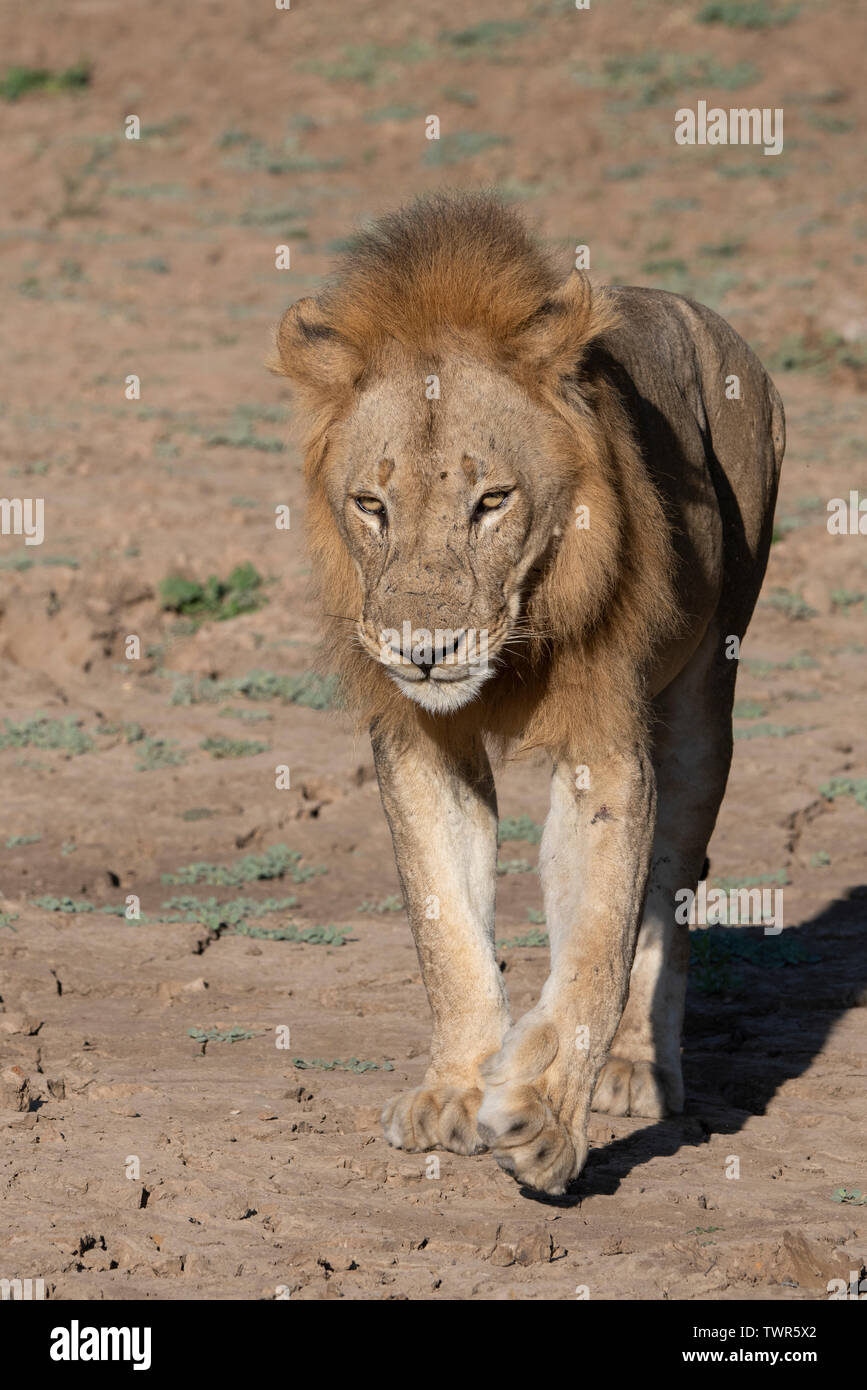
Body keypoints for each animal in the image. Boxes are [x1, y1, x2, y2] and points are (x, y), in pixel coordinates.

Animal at [271, 192, 784, 1195]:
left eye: (491, 502)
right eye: (370, 506)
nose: (423, 652)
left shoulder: (605, 745)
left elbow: (597, 949)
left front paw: (544, 1119)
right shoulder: (420, 743)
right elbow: (448, 934)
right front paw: (455, 1091)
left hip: (706, 696)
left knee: (666, 886)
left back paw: (634, 1071)